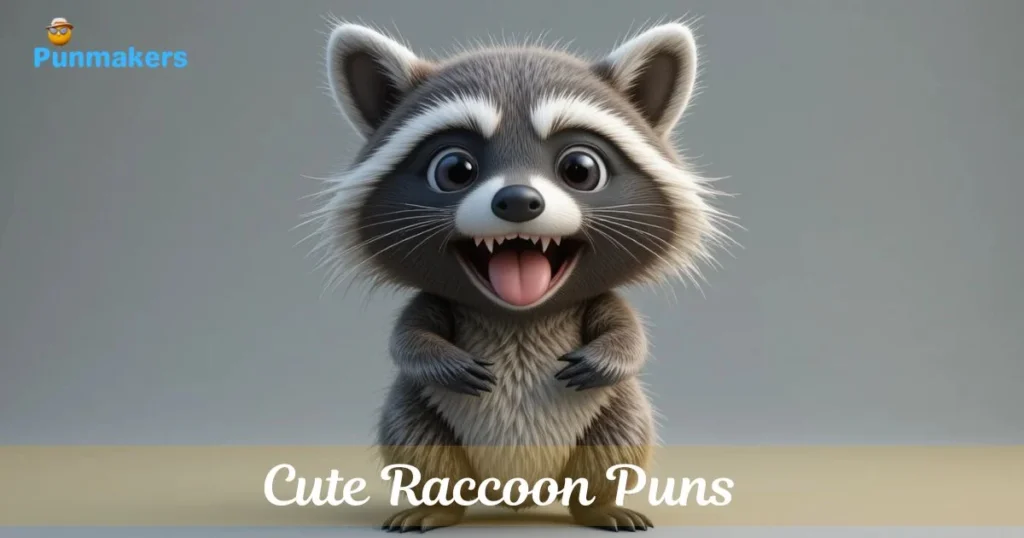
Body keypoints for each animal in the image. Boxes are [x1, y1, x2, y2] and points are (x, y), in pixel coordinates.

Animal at [312, 21, 727, 532]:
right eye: (454, 169)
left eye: (580, 169)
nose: (517, 200)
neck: (519, 314)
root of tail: (518, 494)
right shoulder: (432, 302)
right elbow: (407, 339)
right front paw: (438, 358)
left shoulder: (602, 302)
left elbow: (630, 336)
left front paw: (610, 355)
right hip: (420, 415)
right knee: (415, 439)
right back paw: (437, 505)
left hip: (615, 413)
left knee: (619, 439)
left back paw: (601, 505)